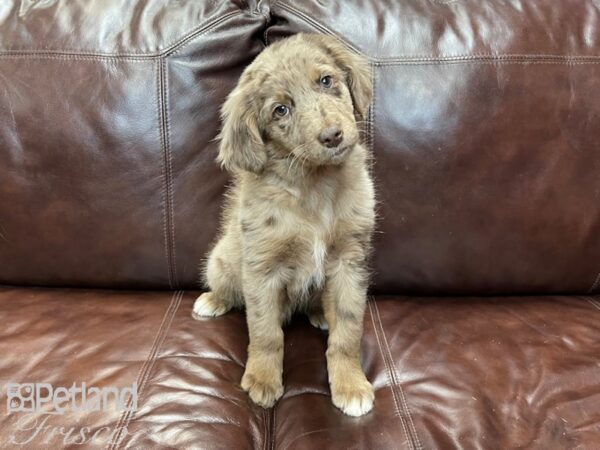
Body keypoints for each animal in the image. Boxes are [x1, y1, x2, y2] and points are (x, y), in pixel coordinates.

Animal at [192, 33, 376, 416]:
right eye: (281, 110)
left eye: (326, 81)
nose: (332, 135)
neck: (315, 186)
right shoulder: (262, 269)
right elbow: (266, 333)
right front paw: (262, 379)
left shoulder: (349, 262)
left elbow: (348, 331)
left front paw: (350, 384)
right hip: (221, 261)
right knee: (227, 289)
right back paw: (213, 301)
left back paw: (320, 312)